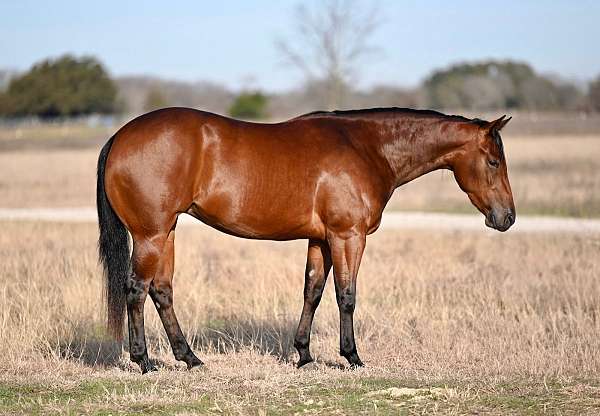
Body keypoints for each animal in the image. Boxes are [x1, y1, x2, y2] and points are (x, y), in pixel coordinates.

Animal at [97, 107, 516, 374]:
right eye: (494, 161)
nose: (507, 217)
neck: (366, 147)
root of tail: (120, 136)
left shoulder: (321, 240)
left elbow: (312, 291)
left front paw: (304, 355)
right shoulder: (348, 236)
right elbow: (346, 295)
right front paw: (352, 357)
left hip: (166, 232)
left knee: (161, 291)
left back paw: (190, 358)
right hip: (150, 235)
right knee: (136, 289)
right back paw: (144, 361)